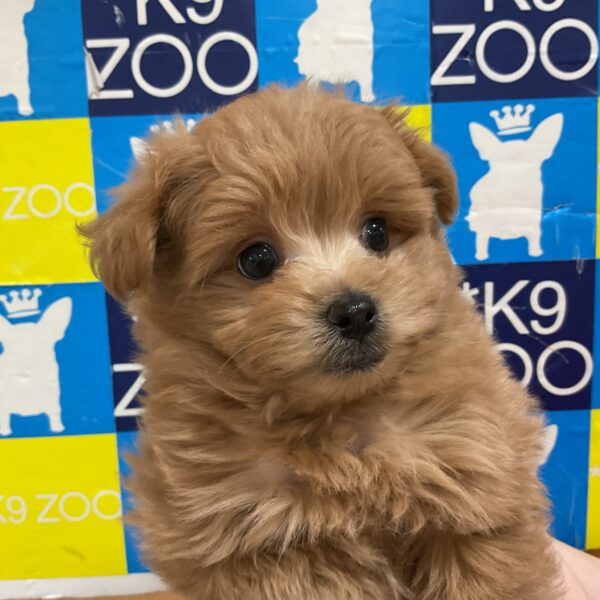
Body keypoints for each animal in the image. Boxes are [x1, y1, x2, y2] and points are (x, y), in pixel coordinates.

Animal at [83, 85, 561, 599]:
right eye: (256, 259)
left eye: (377, 231)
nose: (354, 311)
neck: (337, 421)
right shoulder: (259, 542)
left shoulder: (475, 482)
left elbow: (490, 575)